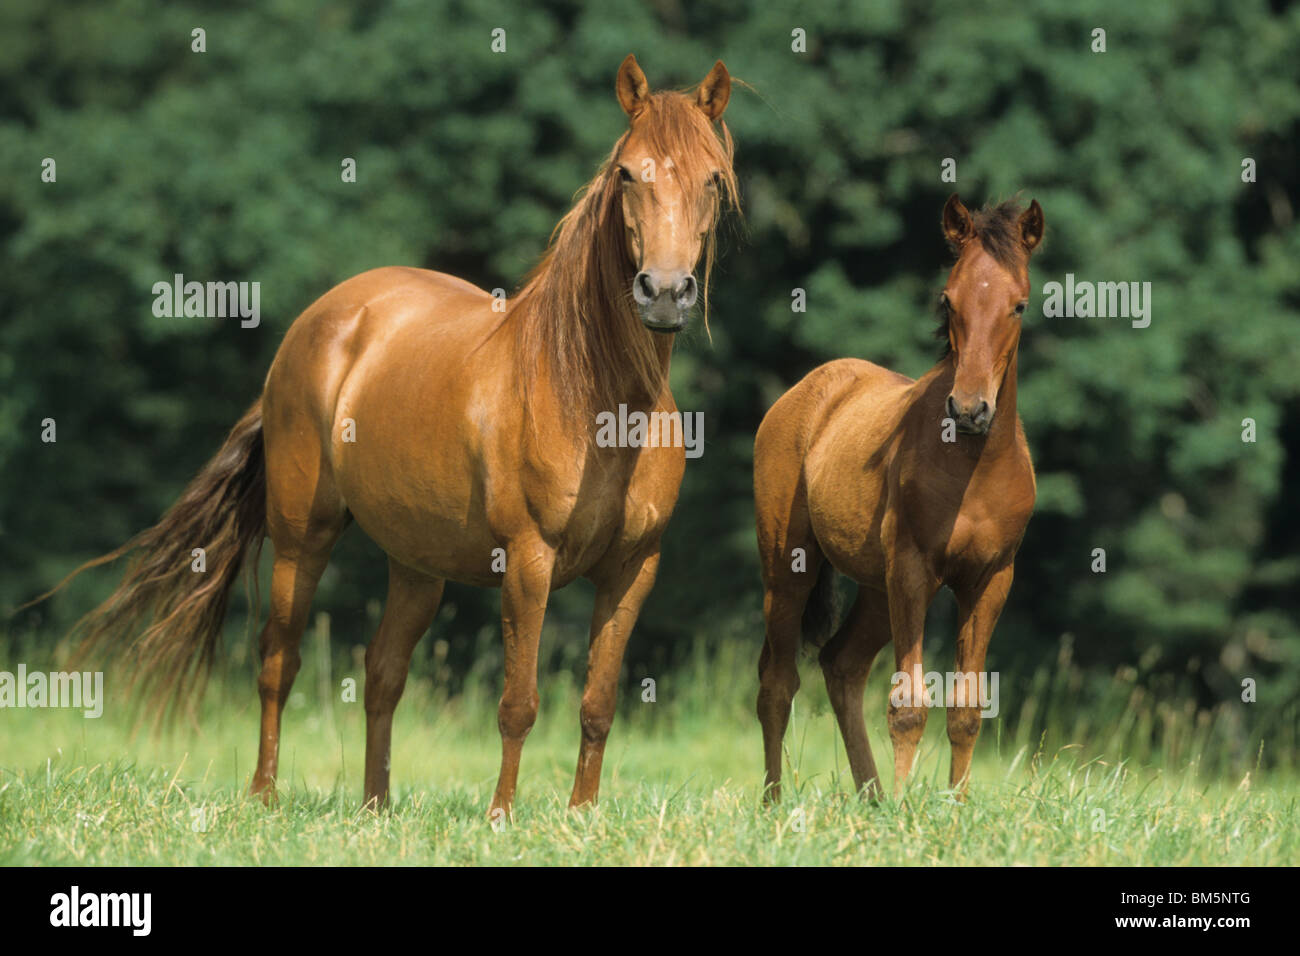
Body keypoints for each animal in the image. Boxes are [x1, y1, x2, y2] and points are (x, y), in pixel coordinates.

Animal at [754, 192, 1045, 801]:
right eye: (949, 299)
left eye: (1019, 306)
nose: (969, 409)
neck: (972, 468)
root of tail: (805, 391)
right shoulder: (912, 568)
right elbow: (909, 705)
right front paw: (910, 808)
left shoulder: (990, 579)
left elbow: (966, 708)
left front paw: (954, 807)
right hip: (789, 569)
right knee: (777, 683)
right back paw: (774, 802)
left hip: (874, 587)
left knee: (841, 665)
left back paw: (871, 796)